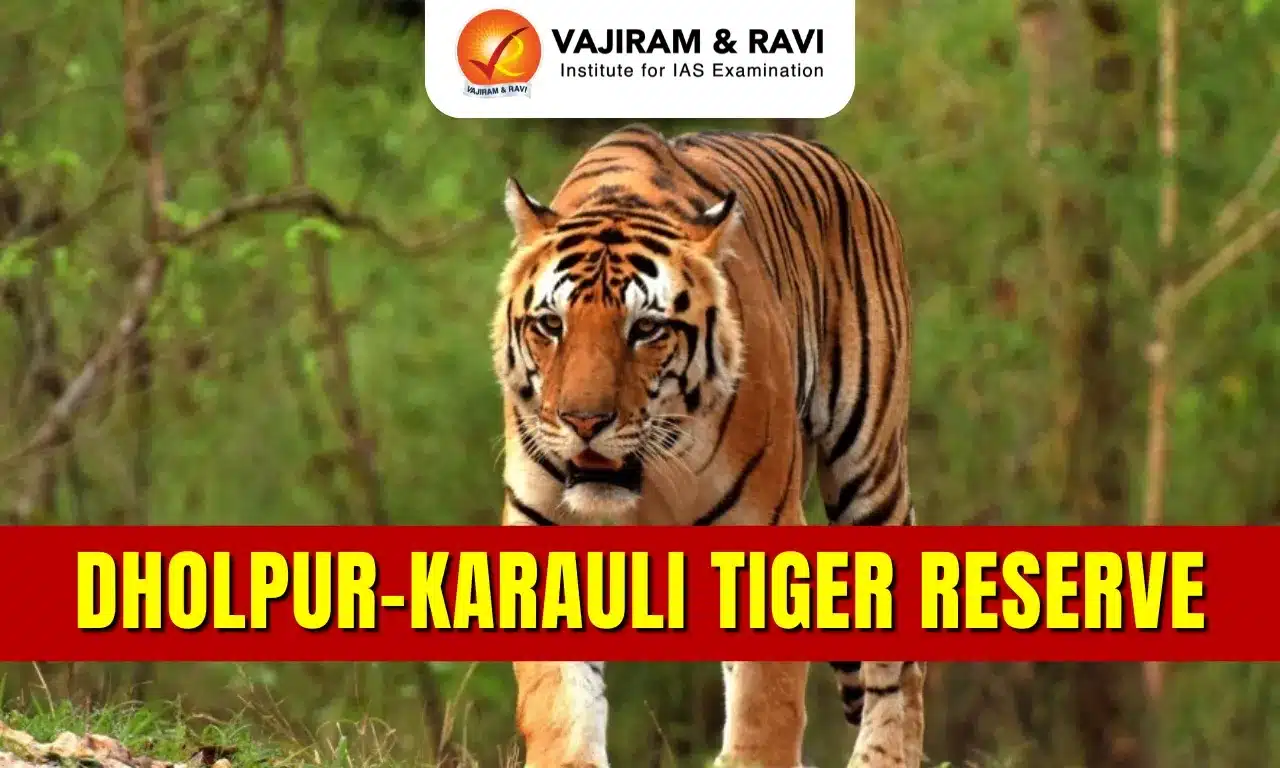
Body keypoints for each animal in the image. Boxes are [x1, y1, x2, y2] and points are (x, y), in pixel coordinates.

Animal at [490, 123, 924, 768]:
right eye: (551, 325)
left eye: (646, 329)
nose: (584, 421)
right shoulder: (543, 531)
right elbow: (562, 709)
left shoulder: (764, 531)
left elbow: (763, 710)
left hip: (868, 465)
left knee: (897, 671)